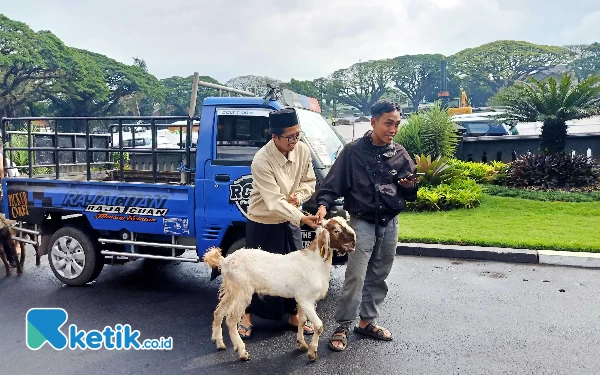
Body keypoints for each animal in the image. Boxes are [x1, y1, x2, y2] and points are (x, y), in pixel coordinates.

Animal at [204, 217, 354, 362]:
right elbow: (319, 326)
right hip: (242, 291)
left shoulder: (302, 299)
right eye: (336, 230)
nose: (354, 243)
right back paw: (242, 352)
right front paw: (312, 353)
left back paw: (219, 343)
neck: (314, 261)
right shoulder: (306, 300)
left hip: (231, 290)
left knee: (218, 312)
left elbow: (302, 320)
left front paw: (302, 344)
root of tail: (225, 261)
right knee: (231, 319)